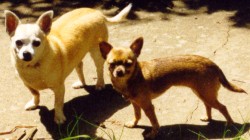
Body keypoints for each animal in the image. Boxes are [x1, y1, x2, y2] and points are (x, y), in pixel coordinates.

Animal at [4, 4, 132, 124]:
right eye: (18, 42)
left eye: (36, 43)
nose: (26, 54)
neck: (33, 66)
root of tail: (97, 12)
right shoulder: (28, 85)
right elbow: (35, 94)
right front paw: (34, 104)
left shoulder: (59, 88)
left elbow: (57, 103)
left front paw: (59, 117)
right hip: (77, 55)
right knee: (79, 66)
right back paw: (81, 82)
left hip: (96, 53)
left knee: (99, 69)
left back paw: (100, 84)